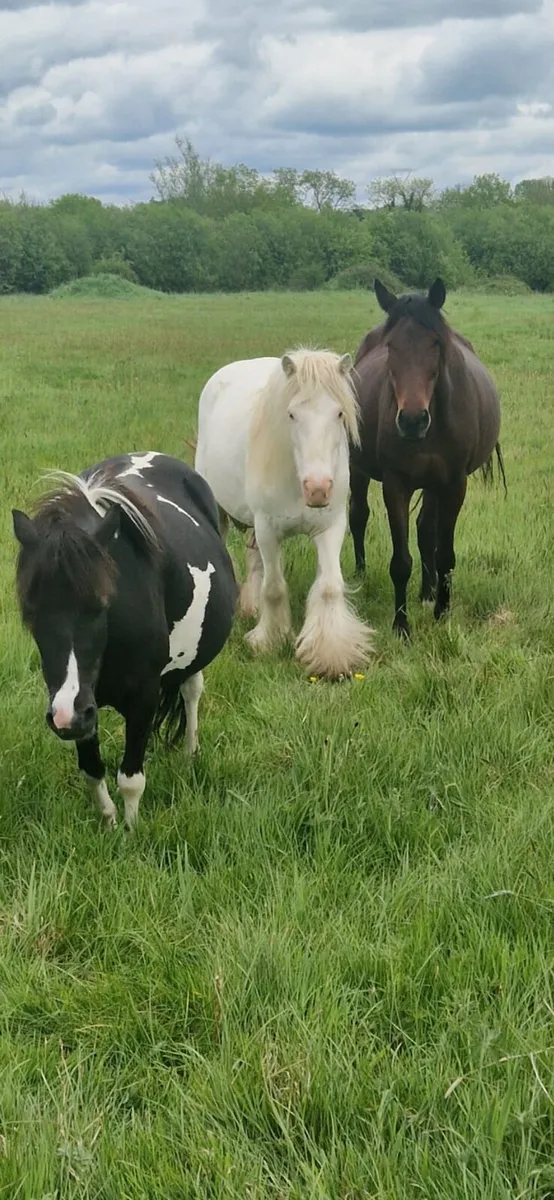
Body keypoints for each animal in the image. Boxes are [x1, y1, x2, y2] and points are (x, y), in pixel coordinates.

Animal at [12, 453, 237, 829]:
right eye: (31, 613)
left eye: (101, 605)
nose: (65, 717)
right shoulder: (82, 705)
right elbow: (92, 770)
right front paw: (109, 823)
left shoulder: (142, 697)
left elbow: (130, 778)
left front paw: (132, 830)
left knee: (192, 691)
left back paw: (191, 753)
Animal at [194, 348, 373, 679]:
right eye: (292, 415)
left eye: (339, 414)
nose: (318, 489)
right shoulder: (268, 529)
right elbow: (275, 588)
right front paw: (269, 641)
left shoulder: (331, 527)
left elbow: (329, 587)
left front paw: (330, 655)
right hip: (219, 509)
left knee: (254, 562)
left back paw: (251, 606)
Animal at [349, 278, 504, 638]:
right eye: (391, 346)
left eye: (435, 343)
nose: (412, 420)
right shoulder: (395, 484)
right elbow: (400, 562)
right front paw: (401, 626)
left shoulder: (453, 484)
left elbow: (443, 552)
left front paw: (441, 613)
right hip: (356, 467)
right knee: (358, 515)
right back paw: (361, 575)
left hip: (434, 484)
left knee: (425, 530)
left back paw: (428, 592)